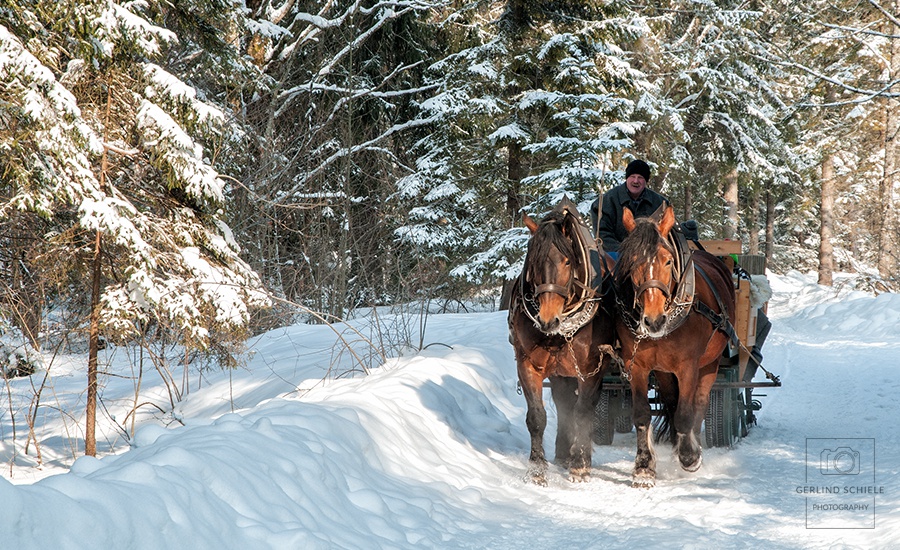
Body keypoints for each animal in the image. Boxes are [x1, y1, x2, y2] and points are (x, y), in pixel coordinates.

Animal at [506, 199, 620, 488]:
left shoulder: (590, 368)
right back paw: (562, 453)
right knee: (563, 402)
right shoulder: (528, 364)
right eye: (533, 262)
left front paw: (580, 465)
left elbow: (582, 412)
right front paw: (537, 470)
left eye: (568, 261)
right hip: (560, 371)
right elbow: (537, 417)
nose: (548, 320)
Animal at [616, 205, 736, 490]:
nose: (653, 320)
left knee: (698, 405)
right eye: (631, 262)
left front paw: (690, 457)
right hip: (663, 371)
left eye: (668, 261)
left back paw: (692, 445)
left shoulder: (688, 366)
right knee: (671, 401)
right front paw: (643, 468)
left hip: (711, 363)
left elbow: (685, 414)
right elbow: (642, 414)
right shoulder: (637, 366)